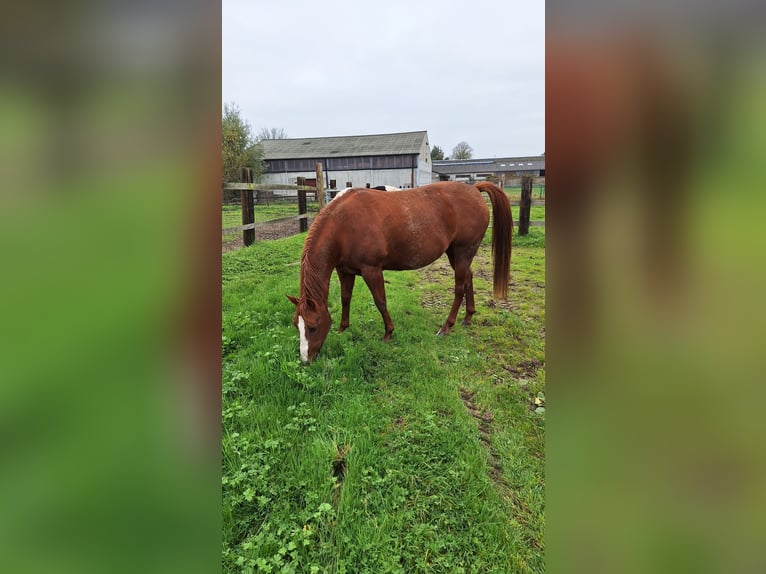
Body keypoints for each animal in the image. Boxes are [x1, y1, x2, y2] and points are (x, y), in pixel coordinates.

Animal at [284, 182, 512, 364]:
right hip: (455, 254)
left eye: (313, 327)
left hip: (463, 252)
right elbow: (345, 298)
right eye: (296, 325)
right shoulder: (344, 271)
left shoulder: (372, 270)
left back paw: (446, 327)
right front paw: (343, 329)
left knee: (458, 289)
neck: (343, 225)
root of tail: (474, 189)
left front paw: (388, 333)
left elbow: (380, 302)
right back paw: (468, 316)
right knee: (468, 278)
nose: (306, 360)